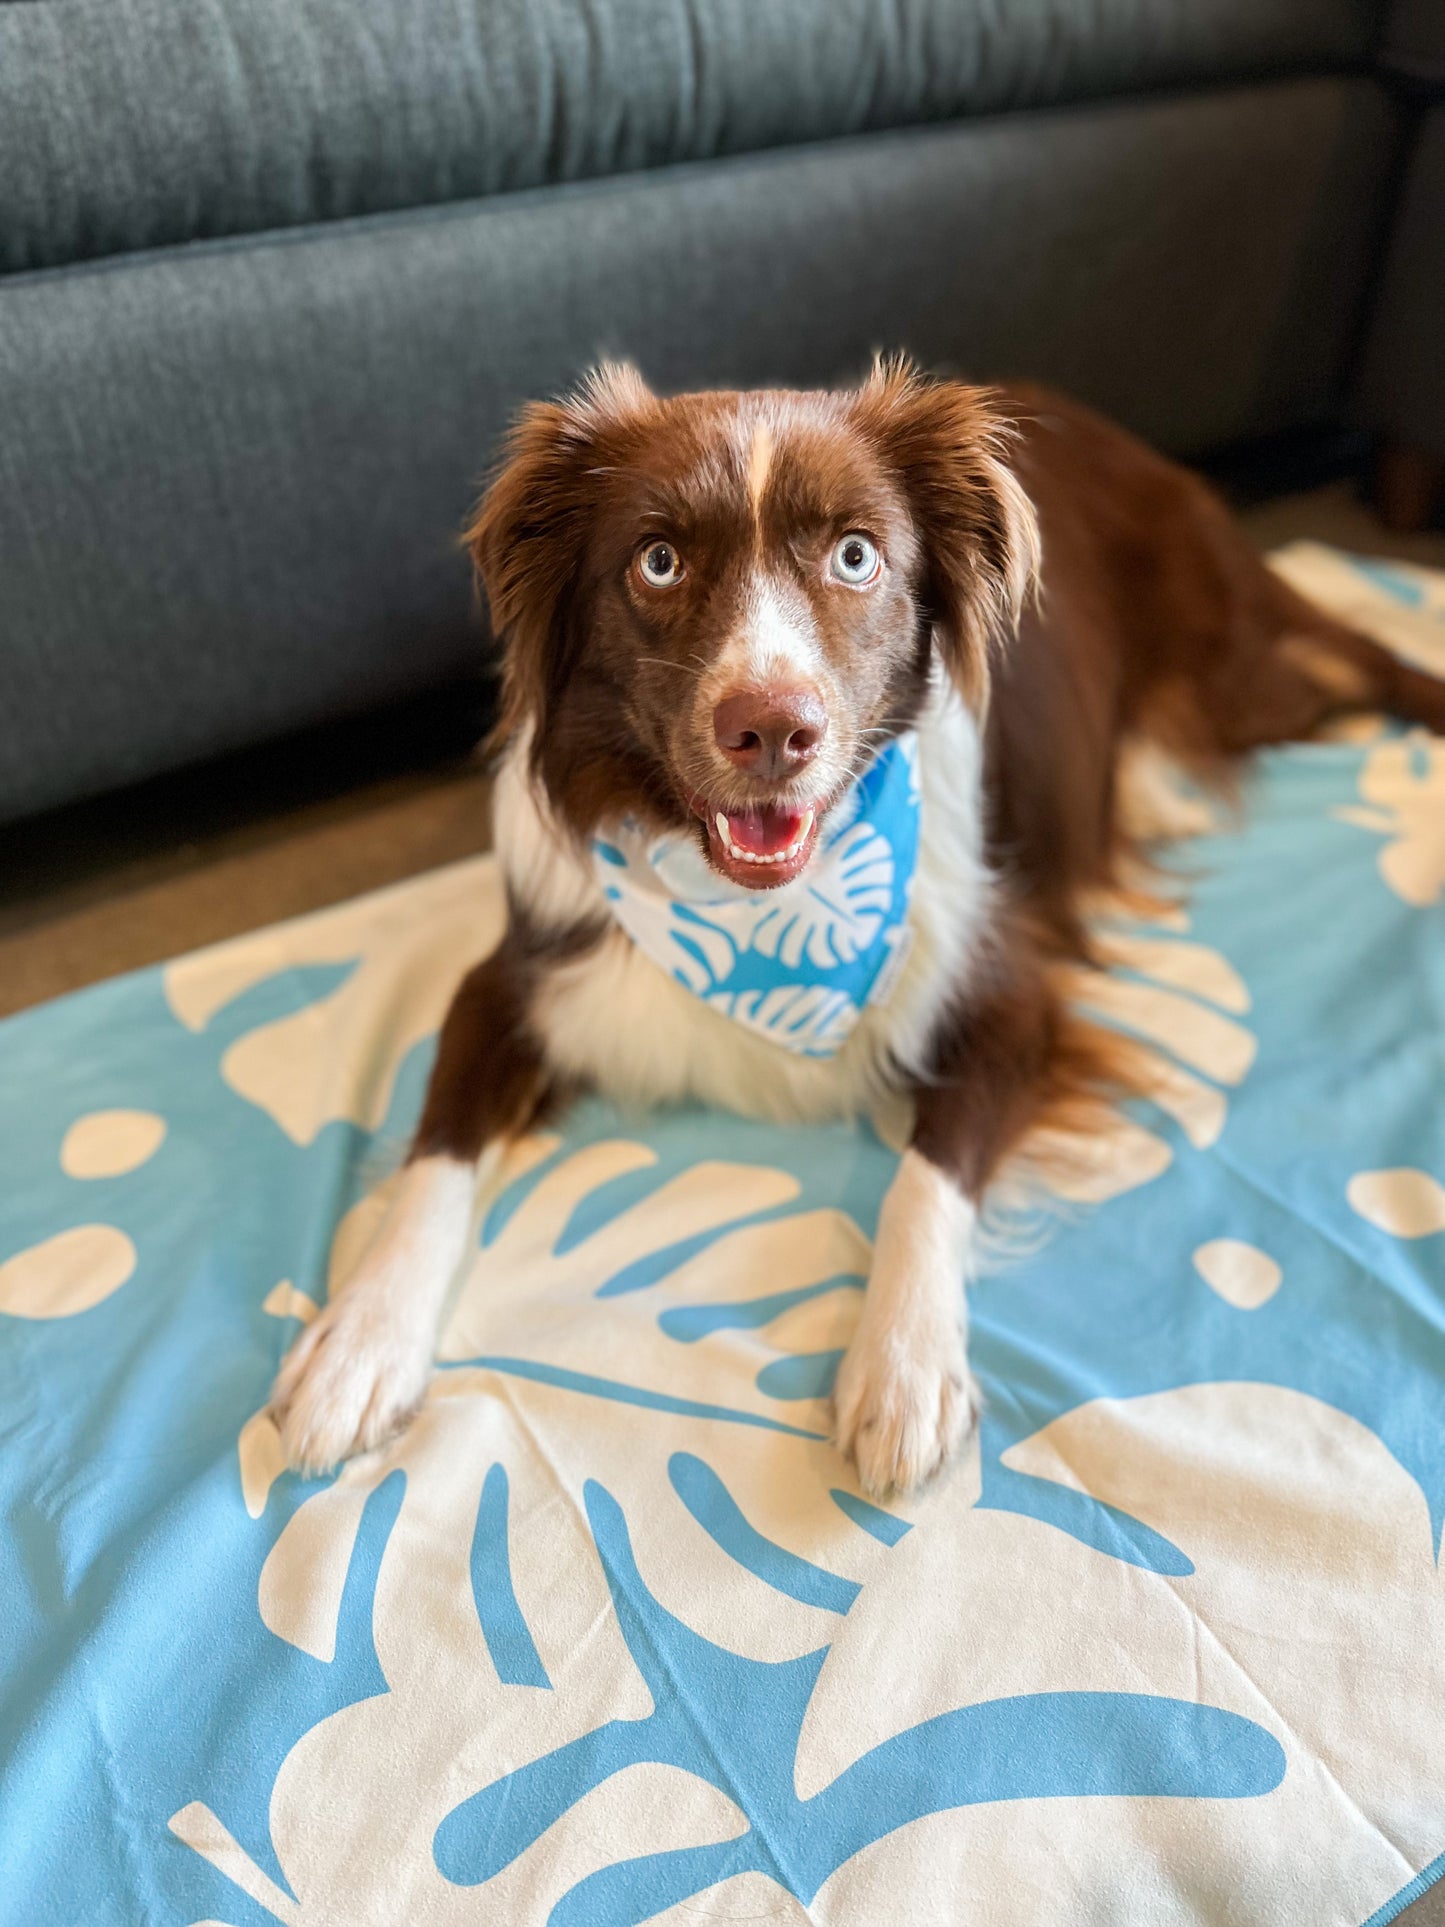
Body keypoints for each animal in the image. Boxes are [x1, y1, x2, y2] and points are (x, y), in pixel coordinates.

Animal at [271, 364, 1445, 1503]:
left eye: (854, 555)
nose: (772, 729)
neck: (754, 910)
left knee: (1355, 655)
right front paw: (358, 1345)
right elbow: (434, 1159)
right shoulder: (514, 974)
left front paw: (904, 1367)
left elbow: (928, 1175)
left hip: (1236, 669)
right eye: (657, 562)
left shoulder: (1003, 989)